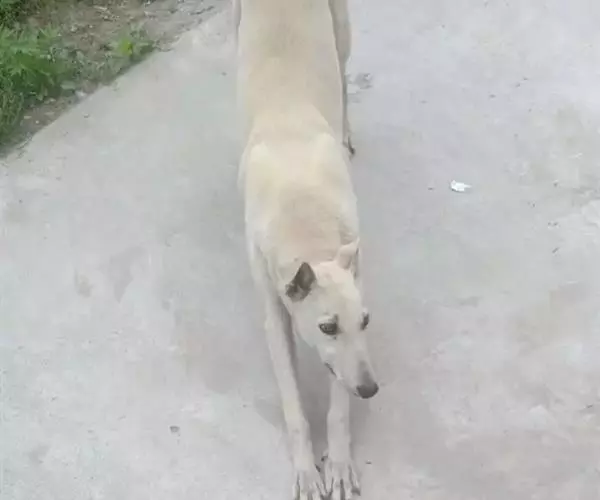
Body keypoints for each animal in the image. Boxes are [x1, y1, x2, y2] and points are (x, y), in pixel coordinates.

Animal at [235, 1, 378, 499]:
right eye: (327, 327)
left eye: (366, 321)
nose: (371, 390)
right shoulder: (275, 316)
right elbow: (294, 404)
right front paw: (305, 468)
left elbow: (337, 406)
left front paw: (338, 462)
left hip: (342, 30)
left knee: (344, 75)